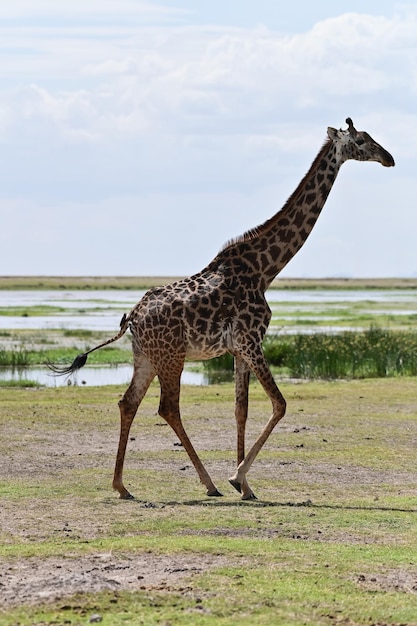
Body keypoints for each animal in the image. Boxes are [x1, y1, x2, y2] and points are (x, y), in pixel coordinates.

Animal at [49, 117, 394, 498]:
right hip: (172, 356)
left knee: (129, 402)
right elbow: (279, 404)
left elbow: (241, 410)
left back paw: (122, 485)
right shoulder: (251, 340)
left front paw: (247, 487)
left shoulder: (240, 348)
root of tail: (133, 318)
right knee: (168, 407)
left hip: (146, 357)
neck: (266, 270)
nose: (389, 158)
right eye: (361, 140)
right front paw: (236, 477)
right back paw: (209, 483)